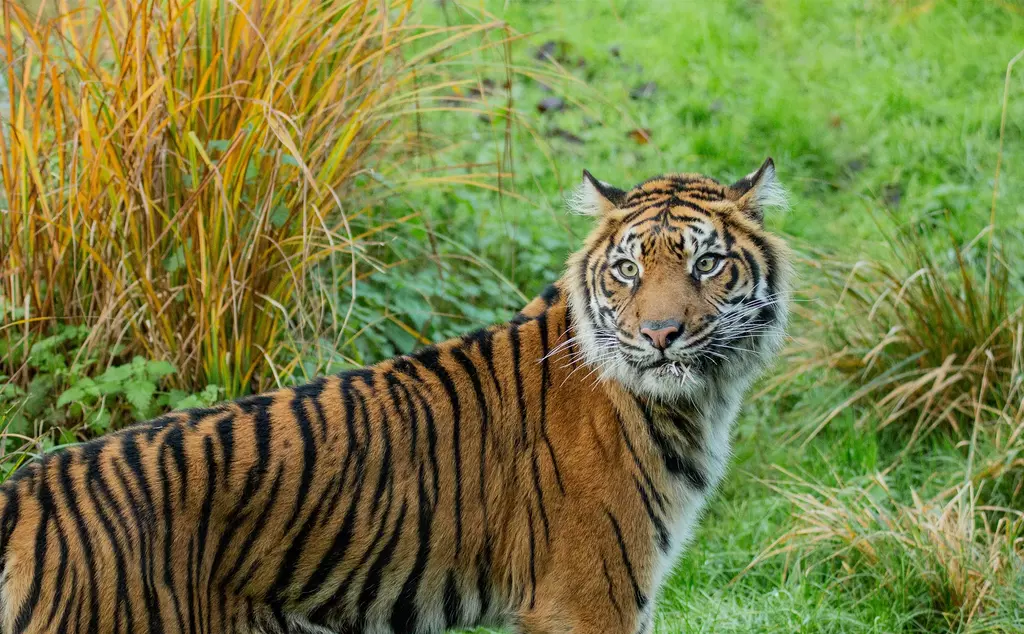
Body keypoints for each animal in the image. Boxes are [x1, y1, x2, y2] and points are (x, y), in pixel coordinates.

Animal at [0, 157, 790, 634]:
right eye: (628, 269)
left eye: (707, 263)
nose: (659, 334)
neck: (692, 403)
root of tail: (29, 494)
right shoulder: (586, 599)